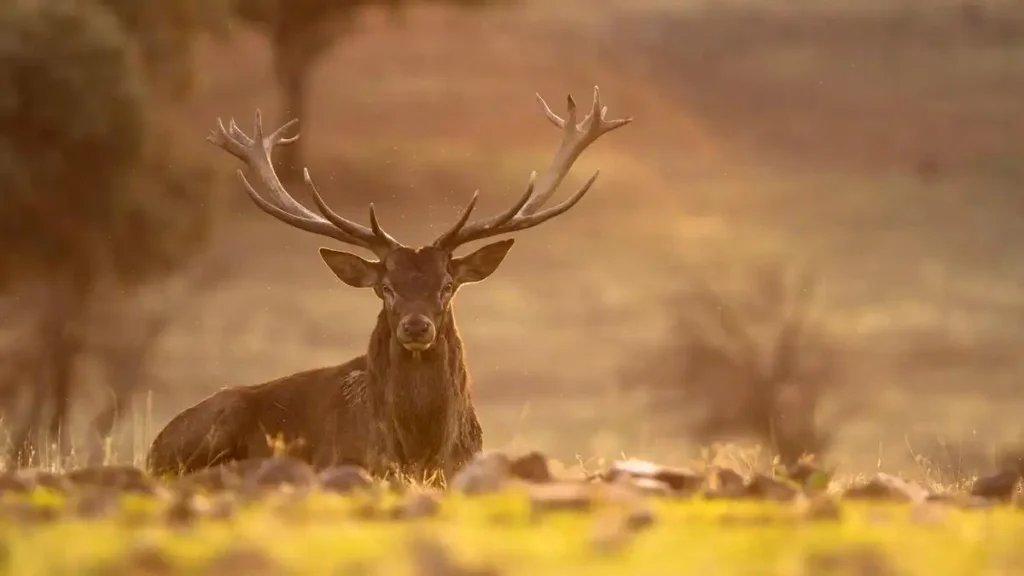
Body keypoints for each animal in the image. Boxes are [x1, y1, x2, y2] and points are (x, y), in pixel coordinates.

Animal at [146, 87, 631, 483]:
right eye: (386, 287)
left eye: (447, 285)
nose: (416, 327)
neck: (419, 449)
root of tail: (153, 445)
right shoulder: (345, 461)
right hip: (215, 421)